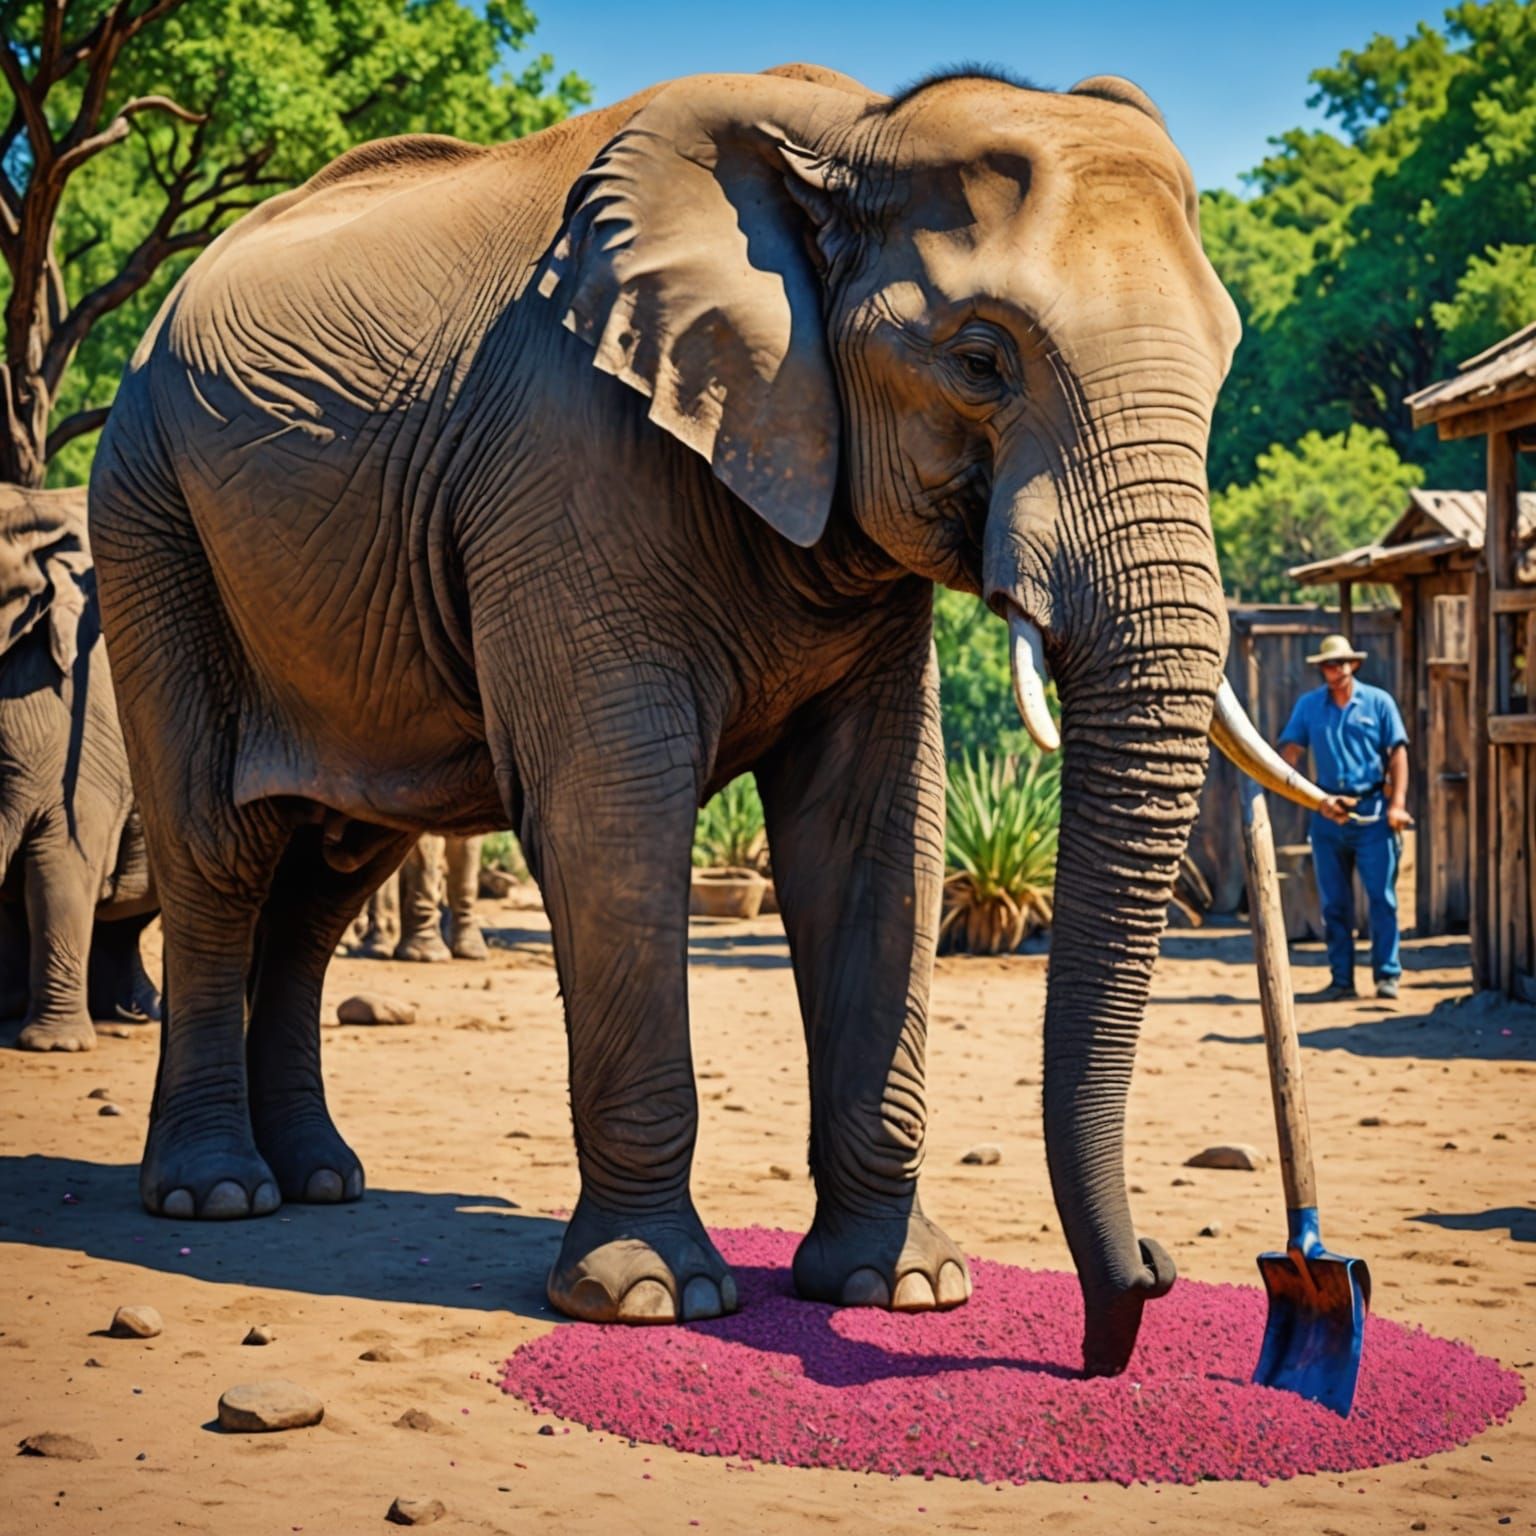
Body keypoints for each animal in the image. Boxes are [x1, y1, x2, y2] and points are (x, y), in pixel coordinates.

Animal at [89, 60, 1324, 1373]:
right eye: (982, 361)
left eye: (1224, 365)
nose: (1141, 1287)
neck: (857, 131)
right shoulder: (564, 461)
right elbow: (614, 814)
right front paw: (648, 1298)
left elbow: (875, 830)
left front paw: (905, 1288)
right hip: (148, 518)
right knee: (219, 856)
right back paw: (219, 1196)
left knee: (332, 873)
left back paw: (323, 1181)